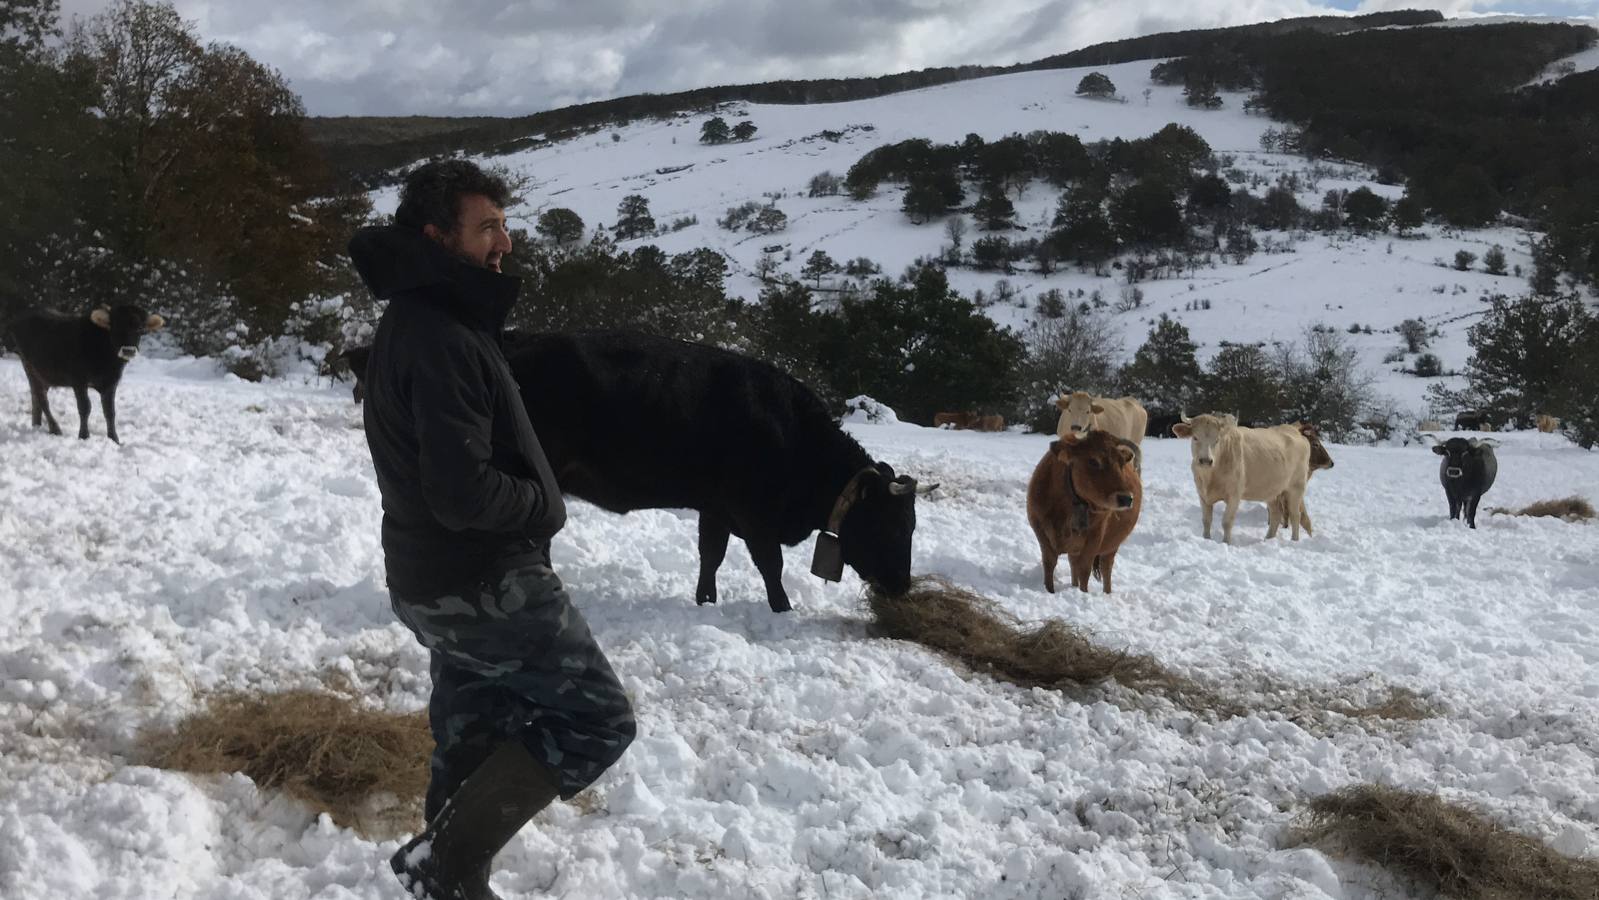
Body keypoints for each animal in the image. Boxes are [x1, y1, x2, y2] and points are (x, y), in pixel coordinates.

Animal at [10, 306, 165, 444]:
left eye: (140, 329)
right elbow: (85, 407)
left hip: (44, 373)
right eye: (115, 327)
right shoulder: (79, 380)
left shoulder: (111, 382)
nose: (128, 350)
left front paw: (114, 439)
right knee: (41, 398)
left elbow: (110, 411)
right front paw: (84, 436)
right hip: (29, 366)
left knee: (36, 397)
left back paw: (37, 424)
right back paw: (55, 428)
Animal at [350, 330, 927, 613]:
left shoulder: (715, 507)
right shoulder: (752, 512)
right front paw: (782, 611)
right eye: (893, 524)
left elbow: (711, 556)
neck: (792, 436)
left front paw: (705, 602)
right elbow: (770, 567)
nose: (902, 587)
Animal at [1029, 428, 1144, 591]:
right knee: (1073, 565)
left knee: (1105, 567)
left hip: (1111, 546)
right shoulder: (1041, 533)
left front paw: (1083, 593)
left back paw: (1106, 593)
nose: (1126, 498)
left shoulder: (1094, 539)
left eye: (1121, 463)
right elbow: (1049, 565)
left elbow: (1084, 571)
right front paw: (1049, 590)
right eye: (1093, 461)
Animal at [1176, 412, 1311, 543]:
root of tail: (1296, 432)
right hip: (1272, 490)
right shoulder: (1202, 495)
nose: (1205, 460)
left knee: (1295, 515)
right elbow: (1206, 521)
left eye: (1217, 440)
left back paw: (1294, 540)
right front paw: (1206, 539)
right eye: (1195, 437)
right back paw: (1268, 539)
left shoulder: (1234, 495)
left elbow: (1227, 522)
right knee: (1275, 514)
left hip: (1296, 487)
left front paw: (1226, 543)